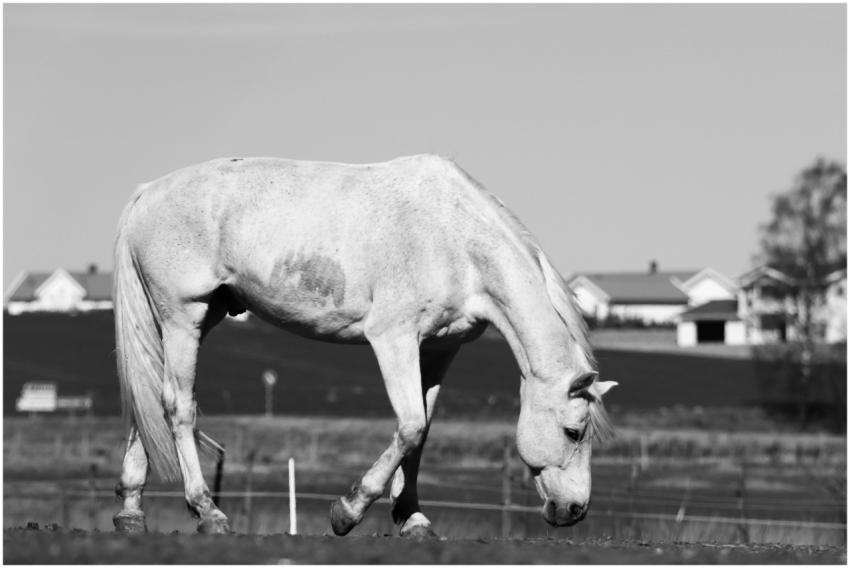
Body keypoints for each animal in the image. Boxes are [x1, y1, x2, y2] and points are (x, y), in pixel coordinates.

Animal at [112, 154, 617, 537]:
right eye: (574, 432)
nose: (576, 511)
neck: (455, 241)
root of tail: (147, 192)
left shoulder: (436, 351)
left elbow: (421, 434)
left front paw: (413, 519)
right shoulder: (394, 341)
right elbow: (409, 426)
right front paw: (348, 511)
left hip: (188, 320)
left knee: (149, 402)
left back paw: (131, 511)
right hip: (184, 318)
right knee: (177, 406)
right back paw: (207, 512)